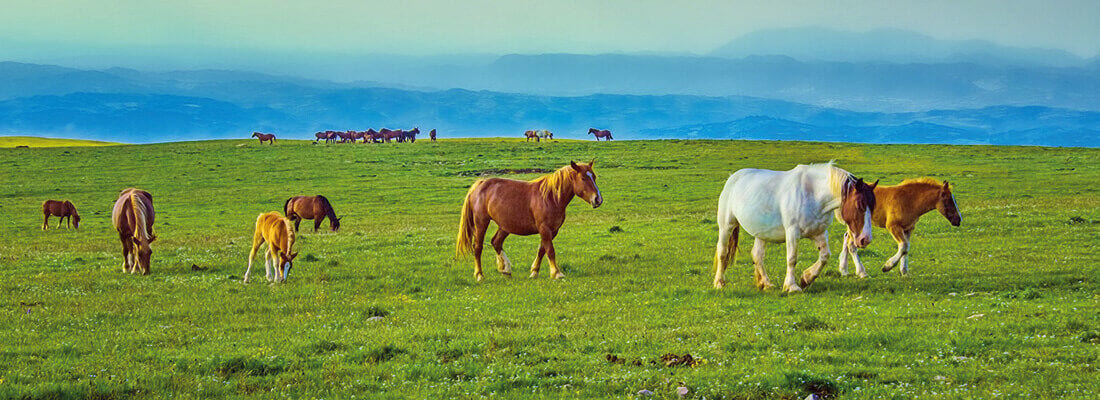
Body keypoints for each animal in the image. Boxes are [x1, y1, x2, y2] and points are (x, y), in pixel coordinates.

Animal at [456, 161, 603, 281]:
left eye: (594, 177)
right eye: (583, 178)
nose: (598, 199)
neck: (551, 197)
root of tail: (479, 184)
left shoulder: (553, 230)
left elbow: (542, 250)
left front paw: (534, 272)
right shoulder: (544, 228)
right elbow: (550, 250)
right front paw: (557, 273)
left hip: (505, 226)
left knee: (496, 242)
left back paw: (505, 269)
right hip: (481, 222)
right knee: (478, 247)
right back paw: (479, 275)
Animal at [712, 163, 878, 293]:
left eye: (872, 206)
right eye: (859, 205)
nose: (865, 239)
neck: (813, 194)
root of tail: (733, 177)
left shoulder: (819, 233)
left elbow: (825, 256)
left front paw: (807, 278)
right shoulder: (792, 232)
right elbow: (792, 258)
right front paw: (792, 286)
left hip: (762, 234)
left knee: (757, 255)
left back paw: (766, 283)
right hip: (726, 226)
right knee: (723, 252)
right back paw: (719, 282)